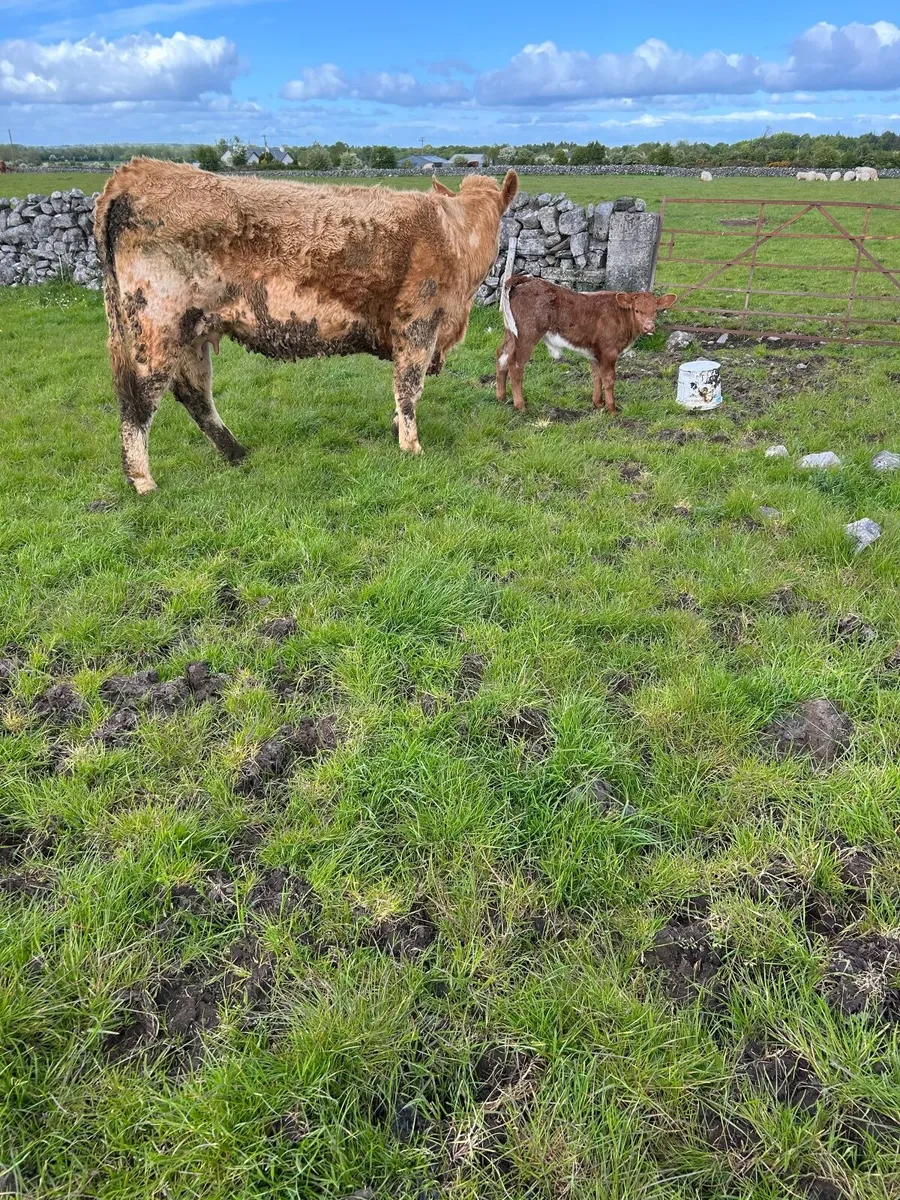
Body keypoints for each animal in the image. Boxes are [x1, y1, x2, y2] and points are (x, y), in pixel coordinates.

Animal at [95, 158, 517, 492]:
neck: (455, 233)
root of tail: (135, 172)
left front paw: (397, 428)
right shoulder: (418, 322)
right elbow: (410, 388)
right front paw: (411, 447)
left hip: (194, 331)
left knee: (194, 394)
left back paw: (236, 452)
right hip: (156, 325)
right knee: (138, 400)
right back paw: (143, 481)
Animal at [496, 275, 676, 415]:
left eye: (655, 311)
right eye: (637, 310)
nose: (649, 327)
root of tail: (526, 279)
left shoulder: (596, 352)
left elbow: (597, 375)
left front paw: (597, 403)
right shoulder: (609, 351)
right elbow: (609, 379)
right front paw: (612, 409)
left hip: (511, 334)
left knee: (501, 356)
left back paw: (501, 398)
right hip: (527, 335)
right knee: (515, 364)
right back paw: (521, 405)